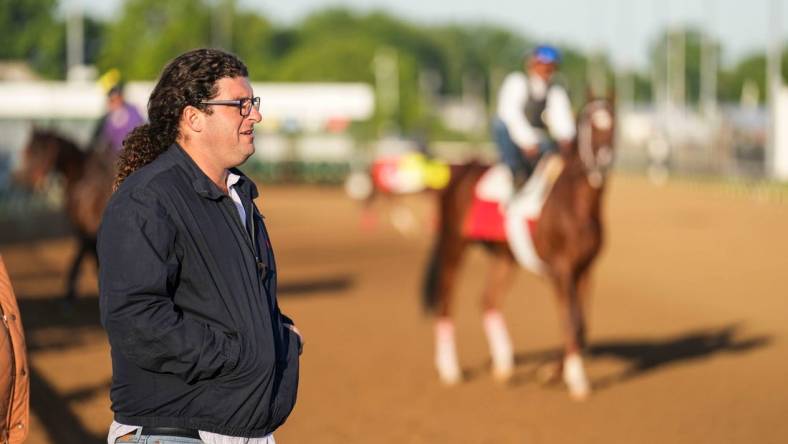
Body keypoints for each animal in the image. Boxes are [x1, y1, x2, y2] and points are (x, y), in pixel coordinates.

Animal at [15, 128, 114, 302]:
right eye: (28, 150)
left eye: (41, 151)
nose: (28, 180)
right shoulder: (83, 229)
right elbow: (85, 254)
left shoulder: (88, 229)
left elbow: (85, 254)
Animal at [424, 99, 616, 398]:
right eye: (589, 125)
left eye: (613, 124)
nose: (603, 161)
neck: (576, 204)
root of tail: (460, 169)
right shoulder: (561, 270)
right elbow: (572, 321)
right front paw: (574, 379)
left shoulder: (585, 269)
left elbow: (581, 324)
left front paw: (552, 372)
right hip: (454, 244)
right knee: (445, 299)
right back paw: (450, 370)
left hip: (505, 256)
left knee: (488, 300)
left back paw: (504, 366)